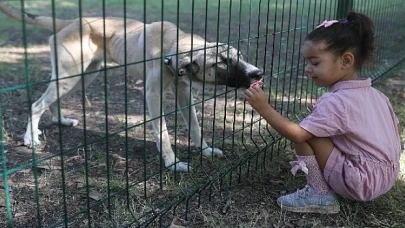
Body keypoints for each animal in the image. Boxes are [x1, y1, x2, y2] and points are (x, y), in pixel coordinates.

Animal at [0, 0, 262, 170]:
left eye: (239, 56)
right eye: (222, 62)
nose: (258, 73)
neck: (172, 47)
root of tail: (70, 22)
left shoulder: (183, 94)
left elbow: (196, 127)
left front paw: (205, 151)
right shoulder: (153, 95)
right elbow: (163, 133)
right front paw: (173, 162)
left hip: (83, 77)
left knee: (52, 103)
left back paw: (60, 120)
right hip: (70, 77)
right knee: (36, 105)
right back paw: (30, 138)